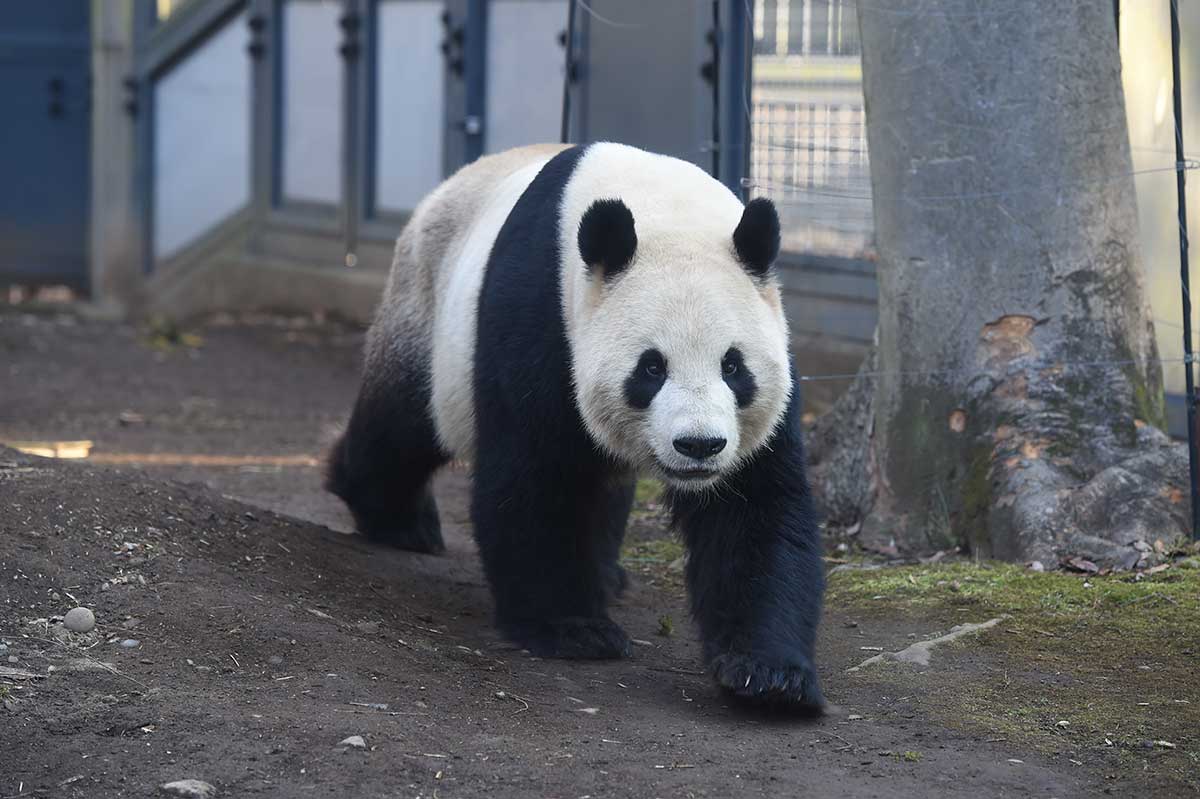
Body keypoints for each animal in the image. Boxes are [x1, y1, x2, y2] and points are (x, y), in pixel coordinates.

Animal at [328, 139, 825, 705]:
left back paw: (607, 574)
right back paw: (397, 520)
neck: (664, 212)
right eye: (651, 368)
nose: (699, 446)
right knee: (405, 425)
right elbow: (536, 477)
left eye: (733, 366)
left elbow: (755, 507)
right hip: (429, 317)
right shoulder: (543, 312)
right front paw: (573, 629)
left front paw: (769, 674)